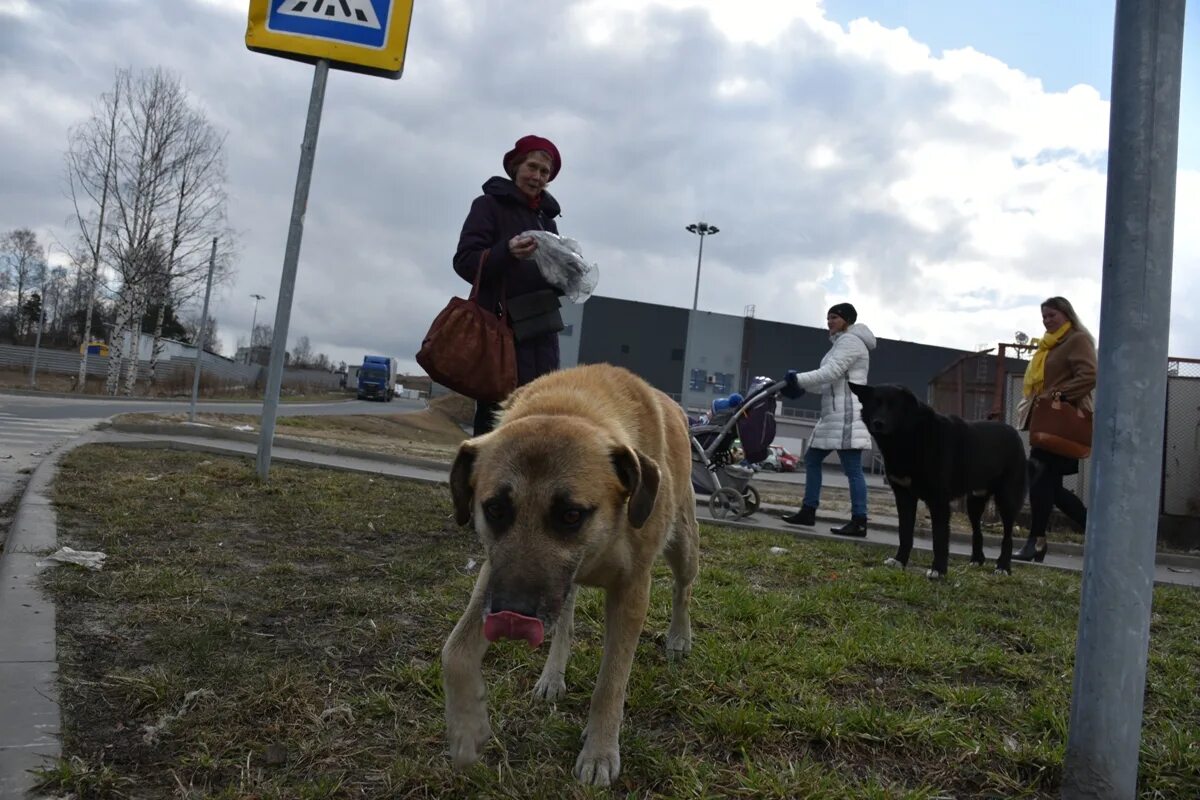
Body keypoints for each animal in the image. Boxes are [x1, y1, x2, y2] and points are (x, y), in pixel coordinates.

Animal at [444, 364, 700, 786]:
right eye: (495, 509)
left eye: (570, 515)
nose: (511, 618)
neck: (568, 407)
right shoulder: (494, 575)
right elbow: (454, 652)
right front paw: (466, 731)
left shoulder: (632, 589)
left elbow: (610, 682)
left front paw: (599, 752)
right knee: (564, 622)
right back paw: (552, 675)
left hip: (682, 545)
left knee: (683, 589)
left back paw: (680, 636)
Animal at [849, 383, 1027, 578]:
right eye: (875, 403)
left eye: (894, 406)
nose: (878, 423)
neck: (910, 437)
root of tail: (1013, 432)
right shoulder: (904, 497)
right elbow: (905, 533)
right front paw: (900, 560)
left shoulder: (939, 501)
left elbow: (939, 538)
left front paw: (938, 570)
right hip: (974, 502)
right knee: (977, 531)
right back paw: (977, 560)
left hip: (1007, 500)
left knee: (1007, 536)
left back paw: (1003, 566)